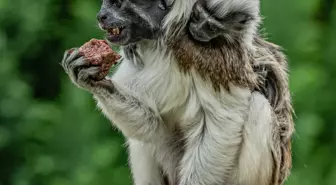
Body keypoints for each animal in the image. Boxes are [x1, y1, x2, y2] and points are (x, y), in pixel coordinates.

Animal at [61, 0, 292, 185]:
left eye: (118, 5)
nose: (101, 16)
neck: (162, 43)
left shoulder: (211, 59)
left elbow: (223, 123)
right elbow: (154, 125)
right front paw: (92, 79)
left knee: (258, 108)